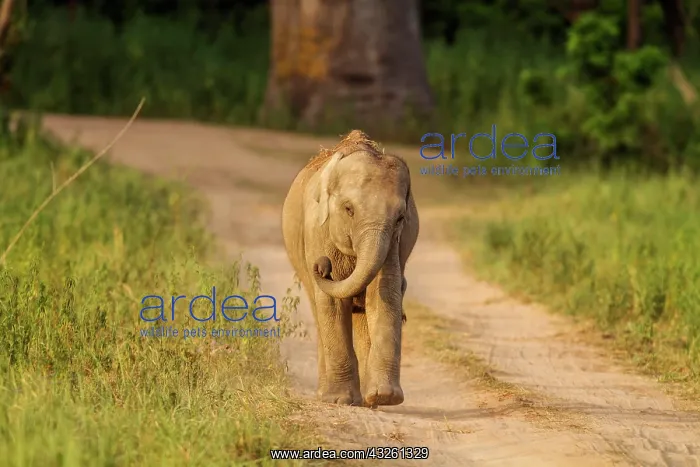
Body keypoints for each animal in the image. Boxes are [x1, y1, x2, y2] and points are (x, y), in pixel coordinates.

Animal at [281, 130, 419, 408]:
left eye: (400, 218)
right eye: (348, 209)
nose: (322, 266)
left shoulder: (393, 242)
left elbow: (384, 293)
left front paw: (386, 397)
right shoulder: (317, 231)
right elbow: (332, 303)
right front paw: (340, 400)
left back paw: (369, 399)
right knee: (319, 309)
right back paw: (328, 395)